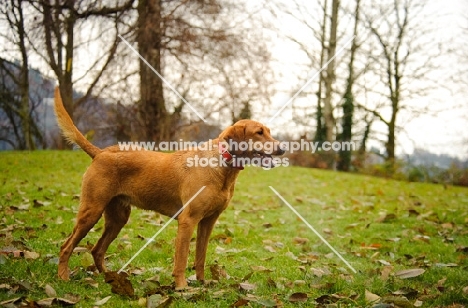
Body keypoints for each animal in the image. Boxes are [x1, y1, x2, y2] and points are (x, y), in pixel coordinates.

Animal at [53, 87, 284, 288]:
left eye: (268, 132)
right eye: (259, 132)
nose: (282, 149)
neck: (222, 165)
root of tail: (101, 152)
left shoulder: (208, 222)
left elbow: (200, 256)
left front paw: (202, 283)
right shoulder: (188, 220)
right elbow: (181, 259)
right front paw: (182, 287)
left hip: (118, 217)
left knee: (97, 250)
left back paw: (109, 278)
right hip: (91, 211)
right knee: (66, 246)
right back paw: (63, 277)